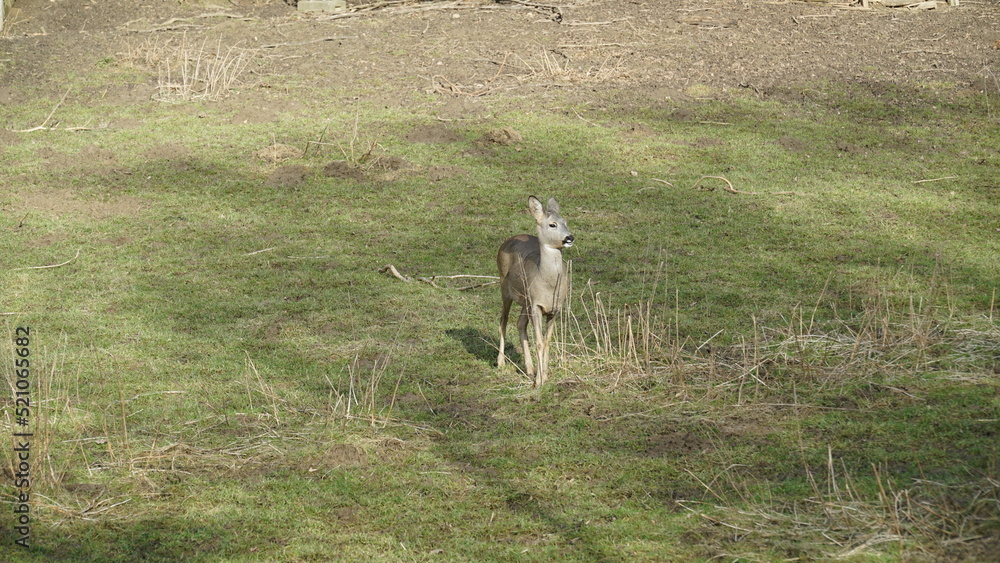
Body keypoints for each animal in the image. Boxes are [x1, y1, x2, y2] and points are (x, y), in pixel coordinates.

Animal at [497, 196, 574, 387]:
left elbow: (547, 341)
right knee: (503, 320)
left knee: (519, 323)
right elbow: (539, 342)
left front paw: (544, 375)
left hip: (525, 299)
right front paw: (539, 382)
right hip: (505, 288)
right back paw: (500, 362)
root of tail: (508, 240)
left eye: (566, 222)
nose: (569, 237)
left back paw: (530, 369)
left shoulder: (554, 308)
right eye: (552, 224)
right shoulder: (536, 305)